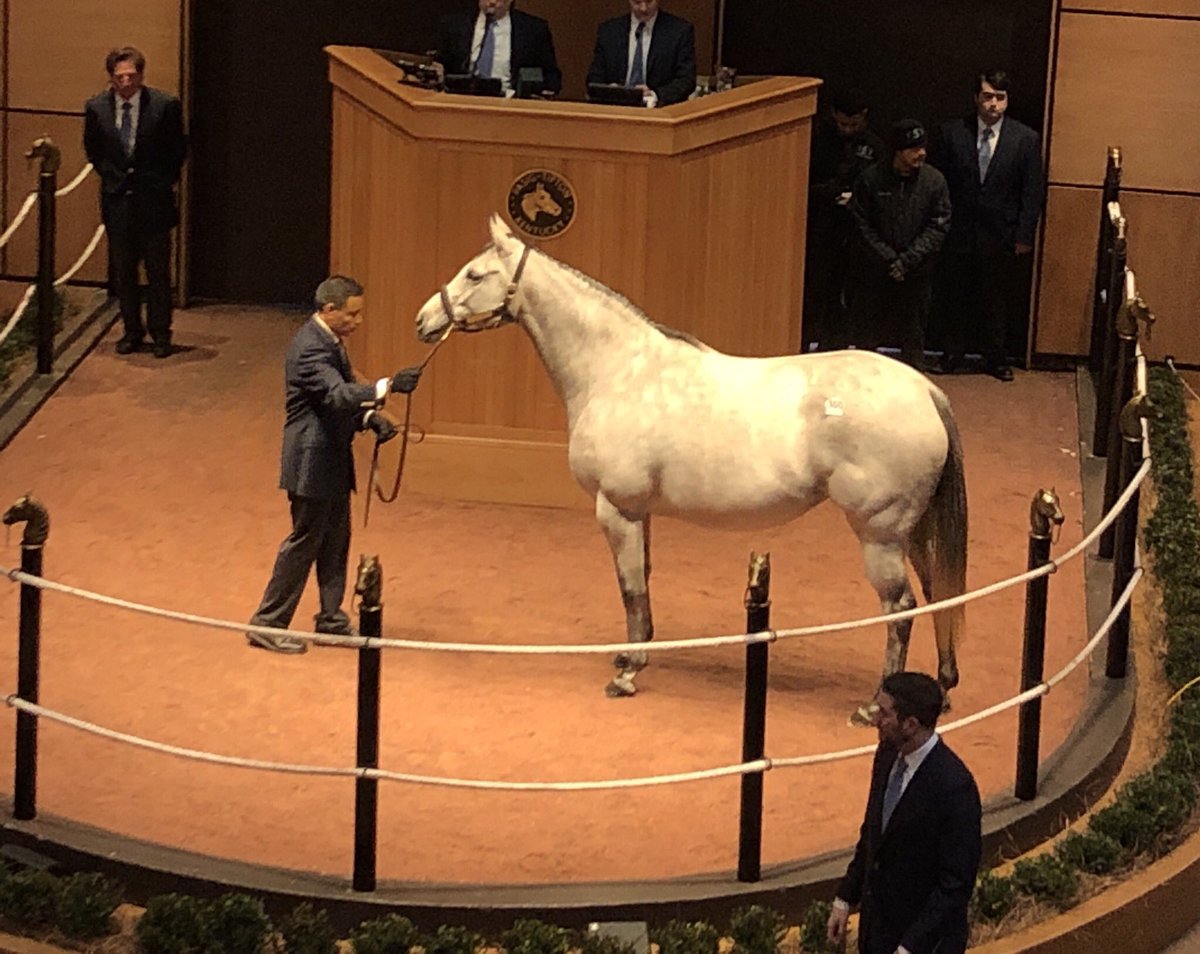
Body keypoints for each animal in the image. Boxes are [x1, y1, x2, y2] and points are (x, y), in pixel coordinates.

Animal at [416, 216, 967, 723]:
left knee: (900, 609)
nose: (423, 321)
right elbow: (643, 582)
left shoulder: (617, 510)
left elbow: (630, 588)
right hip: (912, 534)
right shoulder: (639, 513)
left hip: (880, 536)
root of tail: (925, 389)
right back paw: (937, 688)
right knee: (936, 597)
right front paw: (637, 654)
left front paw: (627, 673)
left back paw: (875, 706)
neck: (617, 371)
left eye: (475, 274)